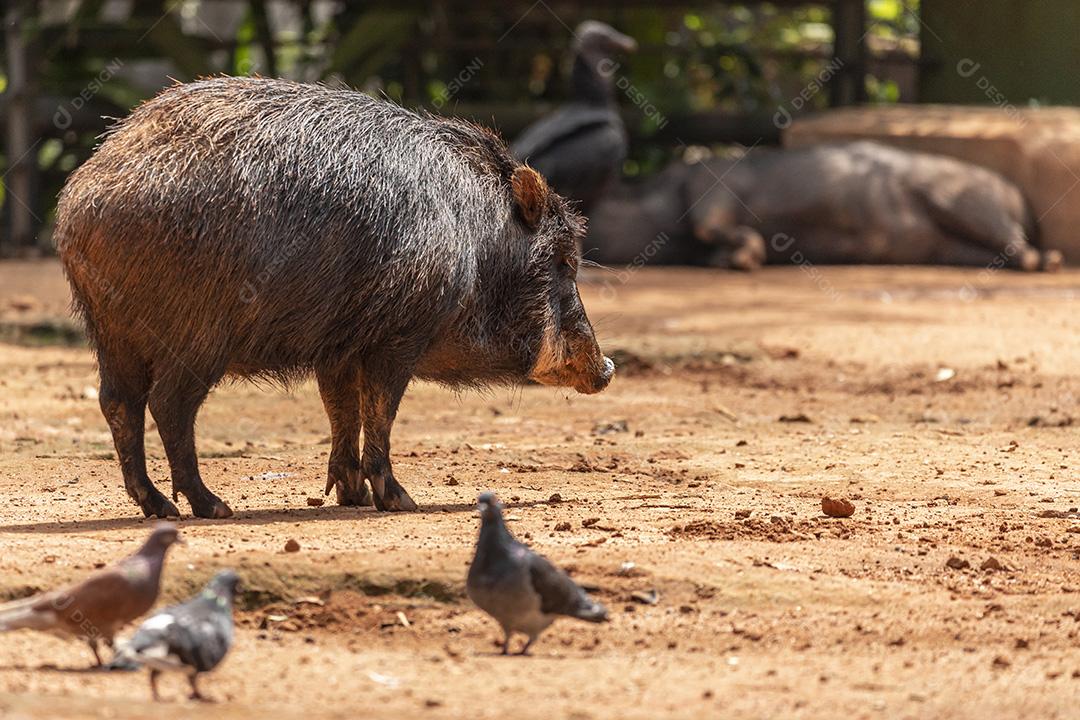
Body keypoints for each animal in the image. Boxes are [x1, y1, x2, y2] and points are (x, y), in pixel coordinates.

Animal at [55, 77, 614, 519]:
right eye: (565, 260)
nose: (607, 368)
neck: (477, 245)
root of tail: (83, 201)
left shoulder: (337, 347)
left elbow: (341, 409)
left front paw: (352, 497)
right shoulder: (397, 334)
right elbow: (380, 410)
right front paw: (399, 501)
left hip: (110, 331)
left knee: (118, 403)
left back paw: (160, 507)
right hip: (194, 334)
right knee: (168, 405)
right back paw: (213, 507)